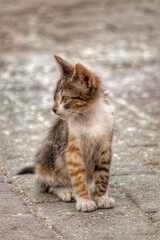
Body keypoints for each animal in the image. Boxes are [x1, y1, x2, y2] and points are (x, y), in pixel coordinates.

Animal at [19, 55, 115, 212]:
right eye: (54, 98)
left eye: (65, 98)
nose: (53, 109)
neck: (89, 116)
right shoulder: (71, 148)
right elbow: (77, 177)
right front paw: (85, 200)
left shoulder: (105, 145)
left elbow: (103, 174)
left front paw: (101, 197)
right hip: (48, 156)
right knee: (48, 185)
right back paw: (66, 191)